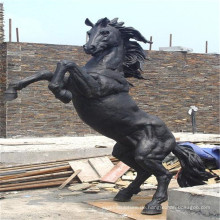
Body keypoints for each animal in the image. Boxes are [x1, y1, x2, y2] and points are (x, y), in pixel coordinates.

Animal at [4, 18, 212, 216]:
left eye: (105, 32)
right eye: (90, 32)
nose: (88, 48)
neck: (105, 69)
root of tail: (174, 141)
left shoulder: (93, 89)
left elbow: (67, 63)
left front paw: (60, 93)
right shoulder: (73, 83)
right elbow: (46, 71)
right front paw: (12, 90)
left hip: (146, 154)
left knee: (164, 175)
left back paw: (153, 205)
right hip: (123, 152)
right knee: (143, 172)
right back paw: (124, 194)